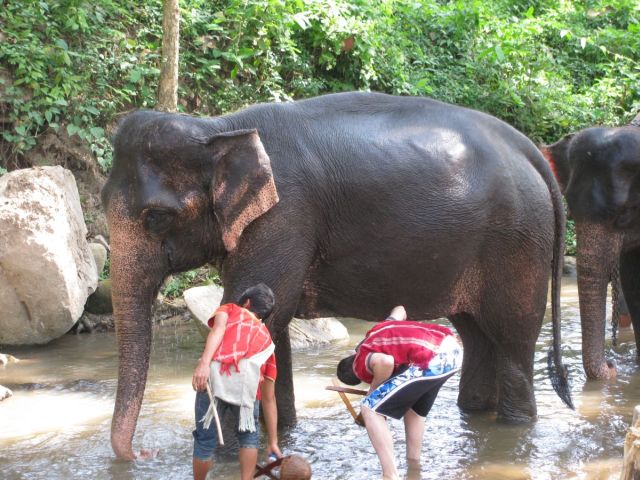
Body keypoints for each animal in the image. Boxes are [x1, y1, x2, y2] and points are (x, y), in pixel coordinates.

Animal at [102, 91, 572, 462]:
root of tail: (530, 149)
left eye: (157, 217)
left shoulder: (284, 218)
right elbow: (270, 328)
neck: (220, 128)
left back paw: (512, 427)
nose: (142, 454)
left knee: (512, 338)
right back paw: (473, 412)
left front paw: (226, 456)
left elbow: (251, 319)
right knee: (476, 334)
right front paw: (280, 434)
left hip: (518, 242)